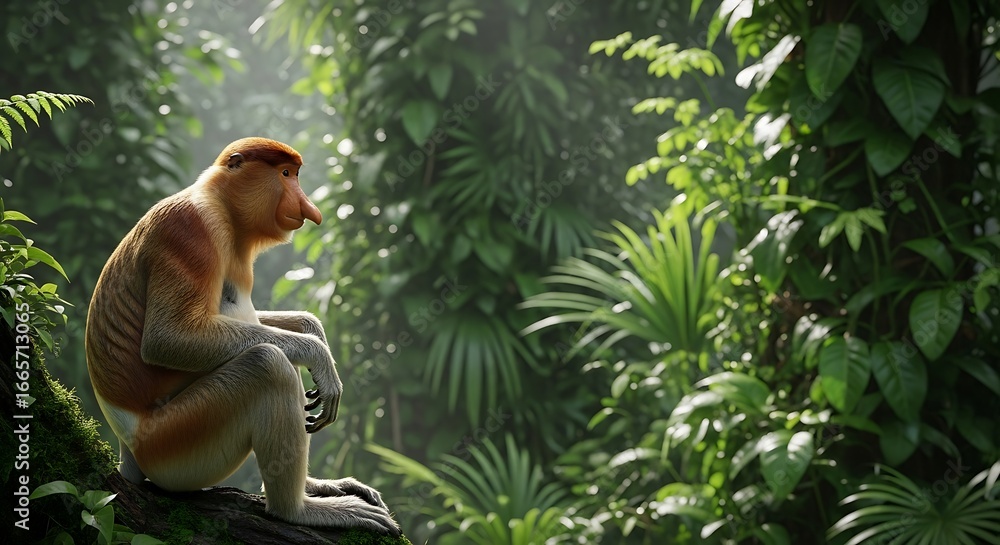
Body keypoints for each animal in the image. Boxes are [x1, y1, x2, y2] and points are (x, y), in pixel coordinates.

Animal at [85, 137, 400, 536]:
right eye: (286, 173)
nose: (309, 208)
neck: (222, 206)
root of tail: (129, 452)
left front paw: (311, 328)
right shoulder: (188, 230)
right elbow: (166, 338)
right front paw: (319, 355)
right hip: (173, 444)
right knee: (267, 365)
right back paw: (297, 509)